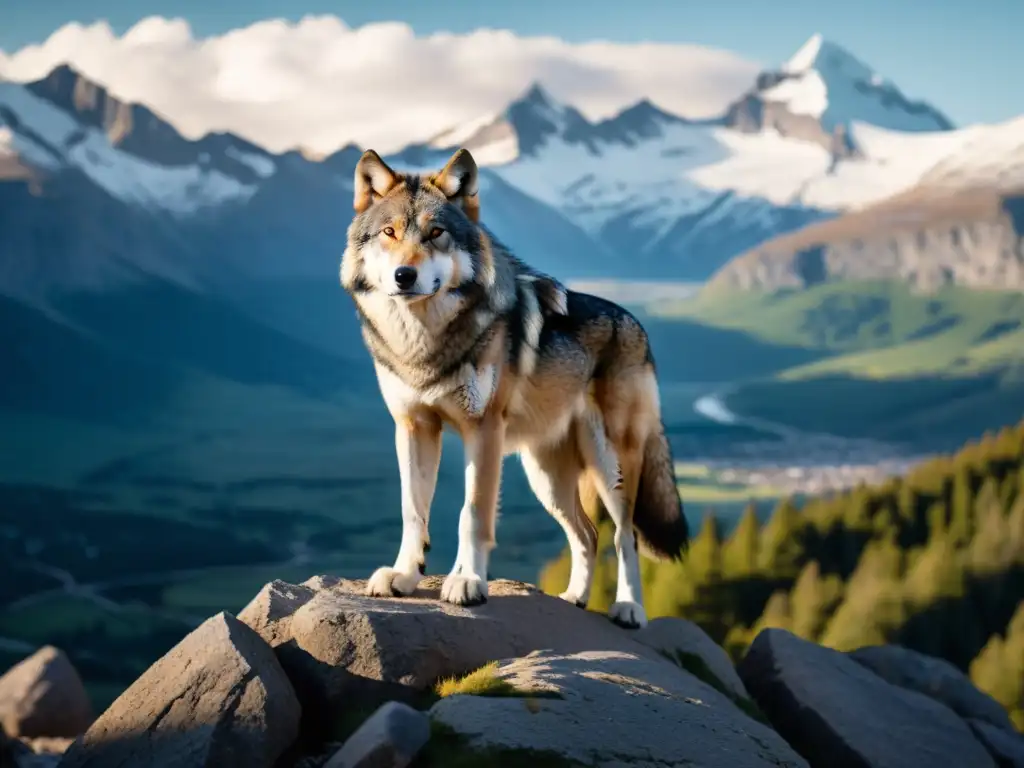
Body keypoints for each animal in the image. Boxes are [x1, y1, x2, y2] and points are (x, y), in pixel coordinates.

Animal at [337, 147, 688, 626]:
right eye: (389, 233)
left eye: (436, 233)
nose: (404, 276)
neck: (426, 345)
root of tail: (636, 324)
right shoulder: (414, 427)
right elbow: (413, 511)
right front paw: (404, 576)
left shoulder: (483, 429)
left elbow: (473, 513)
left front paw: (467, 582)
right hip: (546, 476)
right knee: (588, 533)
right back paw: (574, 599)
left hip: (611, 462)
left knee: (624, 535)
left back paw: (629, 608)